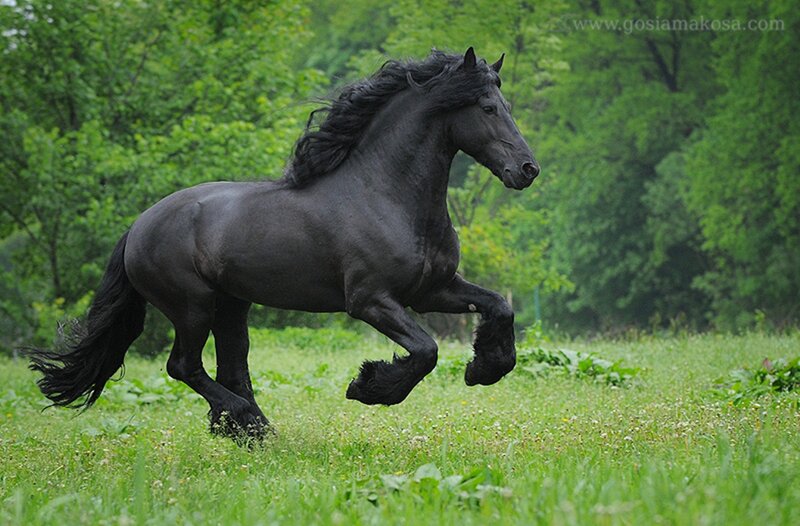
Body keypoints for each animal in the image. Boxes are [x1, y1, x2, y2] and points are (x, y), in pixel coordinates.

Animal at [27, 47, 539, 440]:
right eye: (488, 108)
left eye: (506, 103)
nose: (528, 170)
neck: (385, 194)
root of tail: (138, 226)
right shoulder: (370, 301)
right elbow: (425, 350)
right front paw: (368, 386)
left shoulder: (433, 290)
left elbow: (499, 307)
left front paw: (485, 368)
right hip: (191, 306)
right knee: (184, 367)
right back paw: (248, 423)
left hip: (231, 306)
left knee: (230, 368)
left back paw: (247, 430)